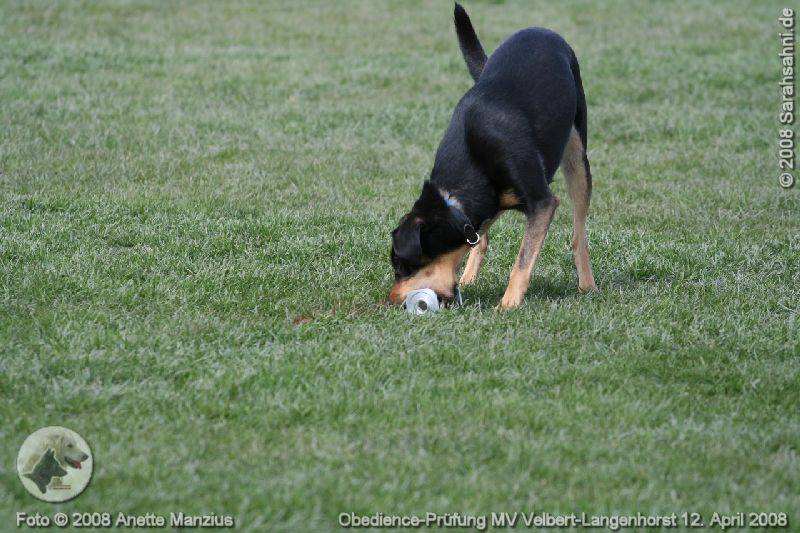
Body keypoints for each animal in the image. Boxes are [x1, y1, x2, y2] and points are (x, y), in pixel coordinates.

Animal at [389, 3, 597, 309]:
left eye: (402, 265)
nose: (392, 300)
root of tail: (541, 30)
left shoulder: (542, 203)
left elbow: (522, 260)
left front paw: (507, 305)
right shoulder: (484, 205)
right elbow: (479, 241)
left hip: (577, 154)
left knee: (578, 234)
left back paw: (587, 284)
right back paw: (468, 278)